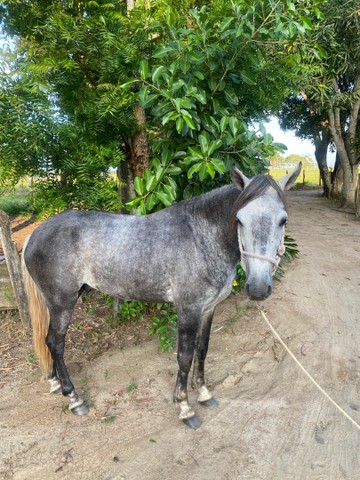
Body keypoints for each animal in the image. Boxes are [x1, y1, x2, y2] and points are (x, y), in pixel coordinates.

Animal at [21, 164, 300, 428]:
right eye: (239, 219)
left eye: (283, 220)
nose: (258, 288)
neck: (201, 238)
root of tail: (34, 234)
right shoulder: (187, 309)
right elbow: (184, 357)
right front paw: (185, 407)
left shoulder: (208, 309)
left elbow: (202, 349)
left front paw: (204, 393)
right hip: (63, 302)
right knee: (55, 343)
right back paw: (74, 398)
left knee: (48, 341)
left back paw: (56, 384)